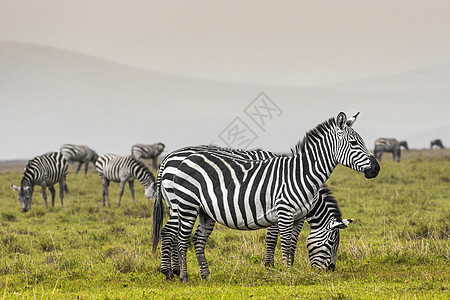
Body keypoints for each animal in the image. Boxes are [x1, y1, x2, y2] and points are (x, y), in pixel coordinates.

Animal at [152, 112, 380, 282]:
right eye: (354, 143)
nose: (376, 169)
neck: (301, 174)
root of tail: (169, 158)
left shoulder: (297, 216)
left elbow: (292, 242)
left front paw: (289, 268)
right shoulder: (282, 212)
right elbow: (279, 241)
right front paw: (280, 270)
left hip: (201, 209)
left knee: (192, 237)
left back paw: (199, 274)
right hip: (183, 204)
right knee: (177, 235)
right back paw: (177, 274)